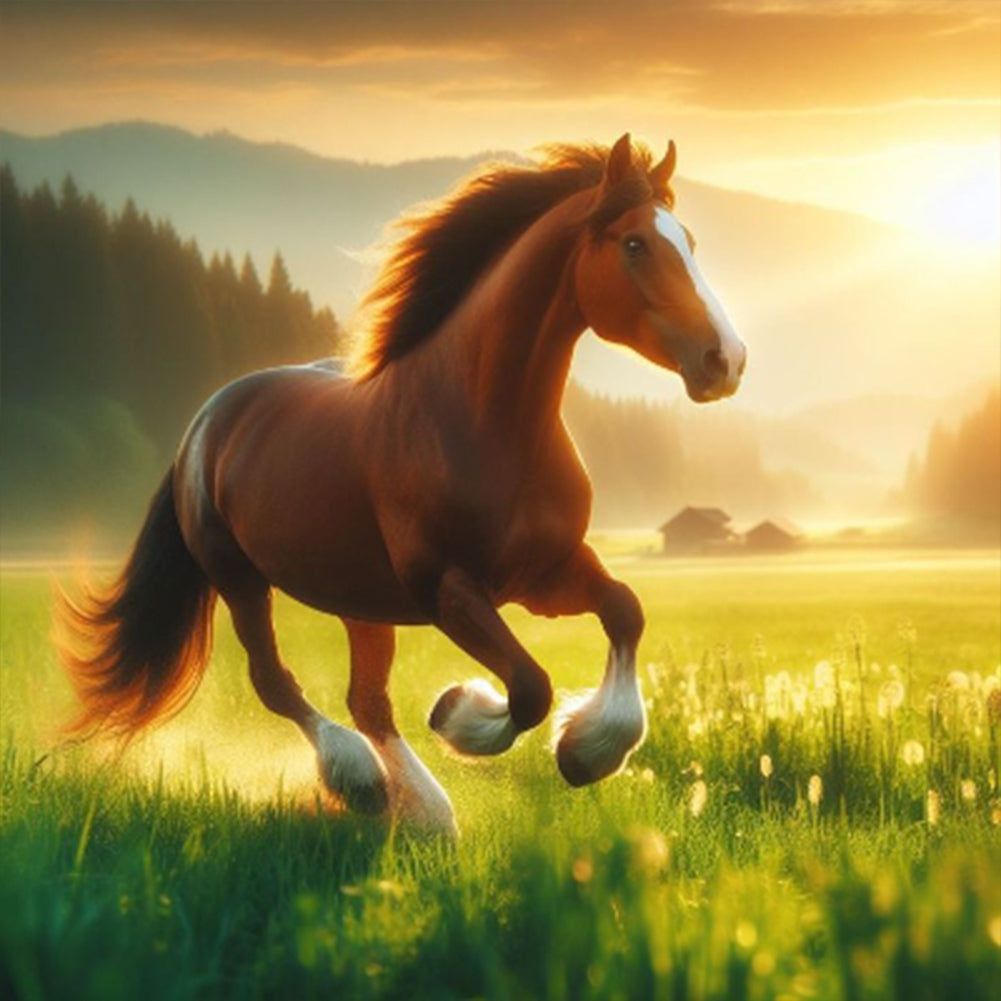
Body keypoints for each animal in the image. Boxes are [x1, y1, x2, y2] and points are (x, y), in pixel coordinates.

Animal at [58, 133, 745, 834]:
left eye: (688, 240)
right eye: (635, 244)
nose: (726, 360)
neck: (485, 422)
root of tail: (207, 420)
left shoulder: (547, 573)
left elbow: (625, 612)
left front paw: (586, 751)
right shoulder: (448, 590)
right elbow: (530, 688)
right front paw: (460, 714)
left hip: (357, 599)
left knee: (366, 698)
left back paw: (421, 813)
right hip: (239, 579)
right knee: (276, 681)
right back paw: (367, 784)